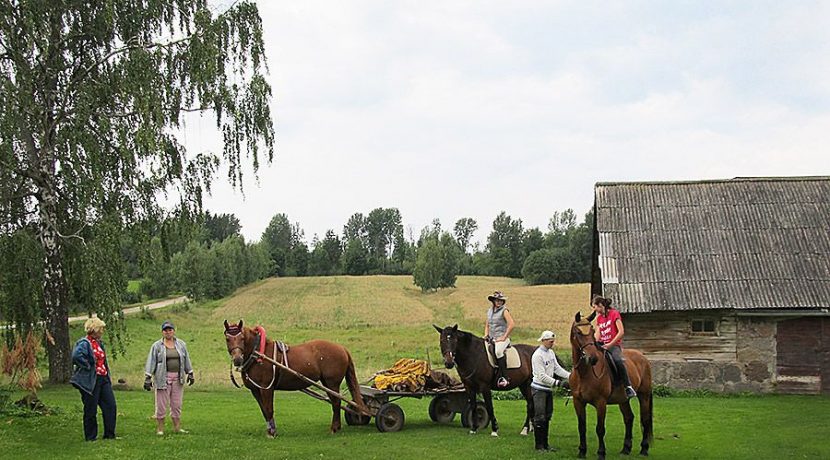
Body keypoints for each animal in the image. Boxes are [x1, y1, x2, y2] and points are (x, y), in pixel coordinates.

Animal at [223, 320, 366, 434]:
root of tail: (342, 348)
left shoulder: (266, 388)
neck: (259, 354)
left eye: (242, 338)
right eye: (227, 339)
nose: (237, 359)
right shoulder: (255, 390)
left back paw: (334, 428)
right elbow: (263, 410)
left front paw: (272, 432)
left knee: (336, 402)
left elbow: (269, 409)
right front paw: (269, 429)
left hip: (332, 383)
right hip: (327, 382)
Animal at [572, 312, 656, 460]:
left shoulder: (600, 402)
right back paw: (626, 449)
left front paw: (601, 453)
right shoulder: (578, 402)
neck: (584, 373)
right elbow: (581, 427)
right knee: (629, 418)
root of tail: (643, 357)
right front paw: (582, 451)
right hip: (623, 399)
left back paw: (644, 449)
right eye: (578, 332)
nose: (593, 358)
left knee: (645, 419)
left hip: (644, 396)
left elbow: (600, 429)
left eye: (592, 332)